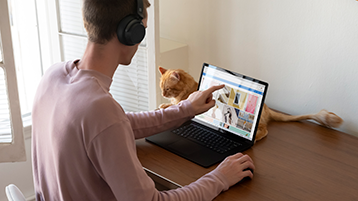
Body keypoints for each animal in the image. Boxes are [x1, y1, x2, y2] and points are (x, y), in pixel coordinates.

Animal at [158, 66, 342, 141]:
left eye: (167, 88)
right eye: (161, 88)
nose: (161, 94)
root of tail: (266, 107)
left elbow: (176, 106)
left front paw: (165, 105)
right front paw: (165, 105)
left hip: (259, 125)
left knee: (265, 130)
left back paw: (257, 138)